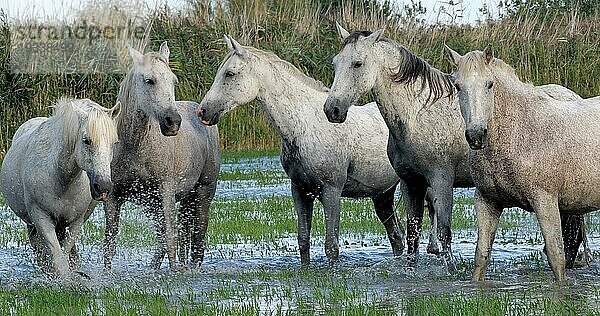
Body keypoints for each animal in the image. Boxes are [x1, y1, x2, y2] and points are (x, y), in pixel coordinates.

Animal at [0, 97, 119, 276]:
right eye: (86, 140)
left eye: (114, 142)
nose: (103, 187)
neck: (61, 180)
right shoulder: (41, 217)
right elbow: (57, 261)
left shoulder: (76, 222)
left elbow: (64, 255)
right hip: (33, 225)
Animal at [103, 41, 220, 270]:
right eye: (149, 80)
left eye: (173, 81)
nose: (173, 122)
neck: (135, 147)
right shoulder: (113, 199)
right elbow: (109, 245)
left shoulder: (166, 192)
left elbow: (170, 240)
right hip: (160, 204)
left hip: (203, 193)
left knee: (196, 240)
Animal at [197, 35, 408, 266]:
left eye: (230, 73)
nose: (203, 111)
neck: (304, 126)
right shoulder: (300, 191)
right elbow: (303, 240)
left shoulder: (331, 191)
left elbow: (331, 246)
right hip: (383, 195)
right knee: (397, 237)